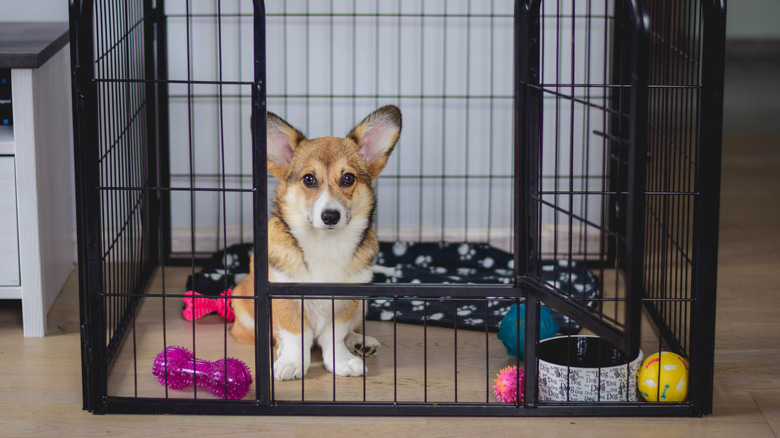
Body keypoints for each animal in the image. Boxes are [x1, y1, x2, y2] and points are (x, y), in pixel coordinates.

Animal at [230, 106, 402, 380]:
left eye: (348, 178)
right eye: (309, 179)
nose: (330, 216)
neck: (325, 244)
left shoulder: (345, 303)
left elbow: (335, 335)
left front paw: (342, 361)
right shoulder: (285, 299)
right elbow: (295, 335)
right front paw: (291, 363)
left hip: (362, 304)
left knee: (349, 331)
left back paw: (360, 342)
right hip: (245, 311)